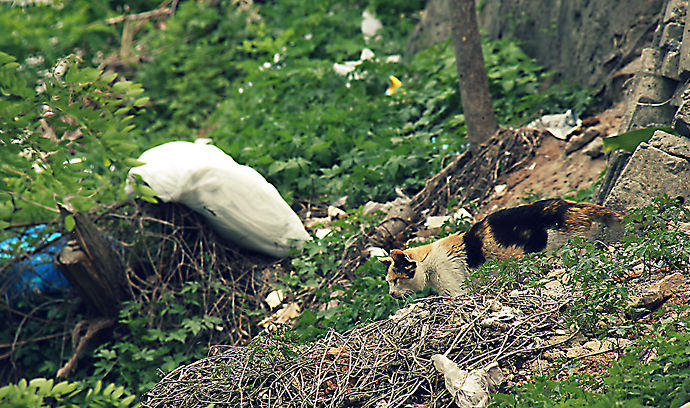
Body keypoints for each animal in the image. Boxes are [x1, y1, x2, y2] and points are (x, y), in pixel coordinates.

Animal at [376, 198, 624, 298]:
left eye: (395, 280)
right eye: (389, 282)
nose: (390, 294)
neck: (428, 263)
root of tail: (571, 205)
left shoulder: (455, 289)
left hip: (564, 250)